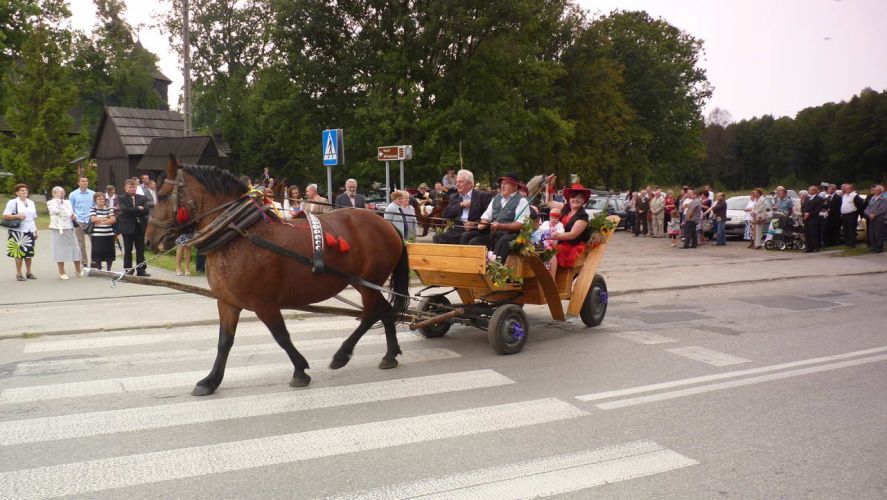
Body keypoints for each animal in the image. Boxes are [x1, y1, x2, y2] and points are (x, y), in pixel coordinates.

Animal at [145, 159, 410, 394]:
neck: (237, 235)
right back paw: (390, 355)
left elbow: (281, 336)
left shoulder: (264, 303)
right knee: (385, 311)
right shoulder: (227, 302)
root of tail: (386, 223)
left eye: (164, 195)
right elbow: (224, 342)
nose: (149, 239)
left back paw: (342, 354)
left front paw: (300, 370)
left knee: (370, 314)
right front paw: (211, 381)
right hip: (365, 283)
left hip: (368, 282)